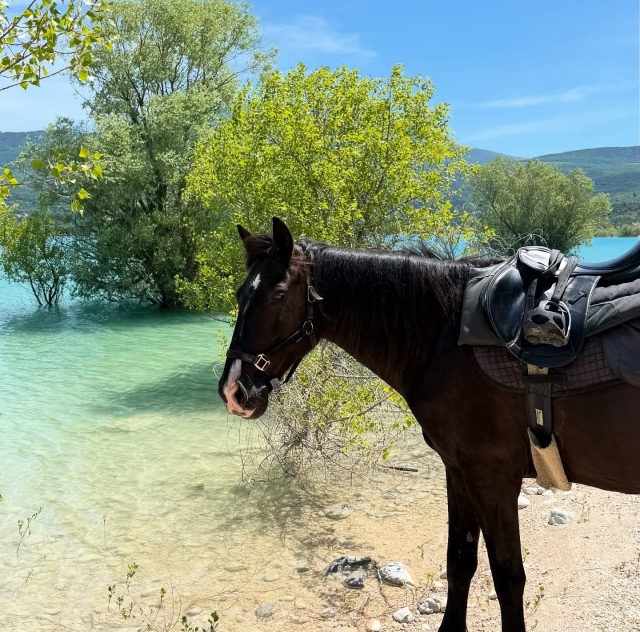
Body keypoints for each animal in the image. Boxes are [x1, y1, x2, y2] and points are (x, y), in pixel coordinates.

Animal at [218, 217, 640, 632]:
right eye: (240, 294)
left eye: (277, 294)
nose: (234, 391)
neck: (444, 337)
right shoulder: (460, 471)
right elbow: (461, 561)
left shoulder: (493, 477)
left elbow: (508, 577)